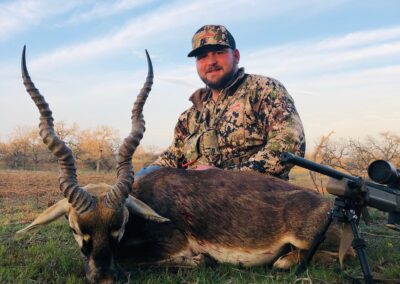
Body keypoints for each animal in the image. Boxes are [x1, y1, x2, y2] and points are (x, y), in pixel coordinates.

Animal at [18, 45, 354, 282]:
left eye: (120, 224)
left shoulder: (172, 245)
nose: (104, 278)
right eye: (74, 227)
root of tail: (335, 208)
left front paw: (199, 260)